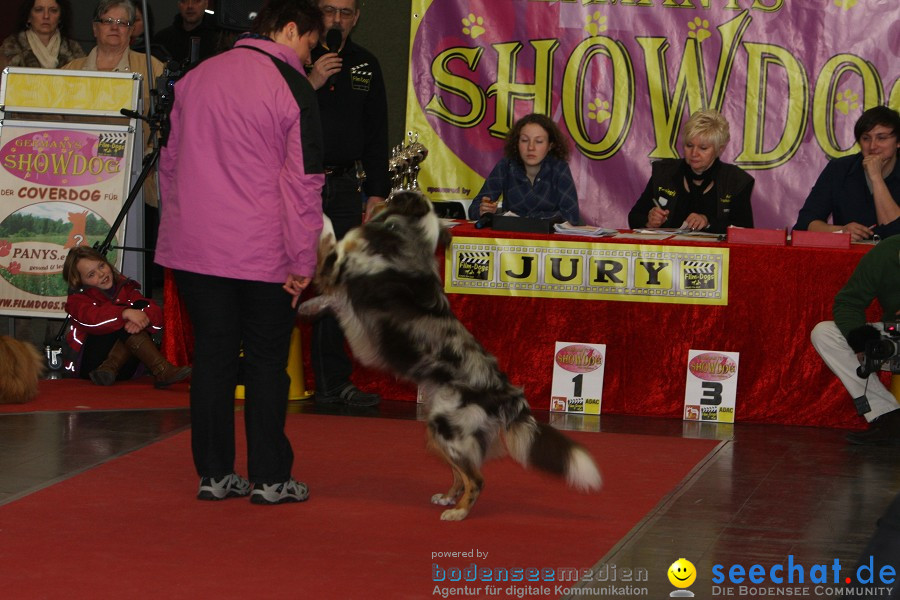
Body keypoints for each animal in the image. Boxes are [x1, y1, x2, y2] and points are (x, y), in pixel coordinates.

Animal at [298, 192, 600, 520]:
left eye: (391, 197)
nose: (372, 203)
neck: (409, 240)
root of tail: (507, 393)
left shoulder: (336, 269)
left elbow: (331, 239)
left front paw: (320, 215)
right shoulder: (343, 290)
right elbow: (332, 295)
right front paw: (308, 306)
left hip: (448, 427)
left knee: (476, 478)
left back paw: (459, 513)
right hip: (438, 429)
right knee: (462, 474)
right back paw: (448, 498)